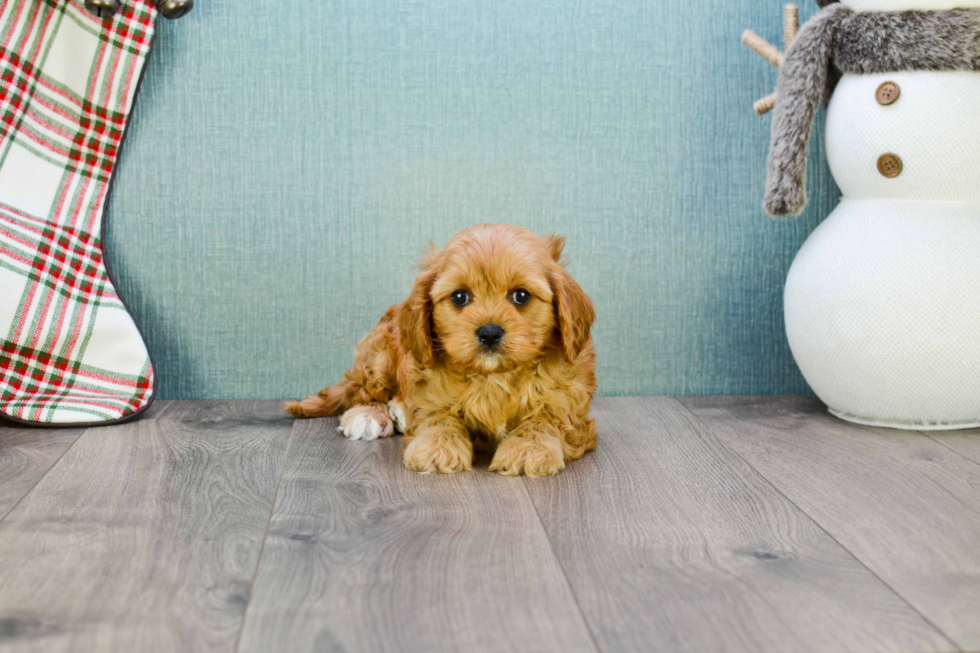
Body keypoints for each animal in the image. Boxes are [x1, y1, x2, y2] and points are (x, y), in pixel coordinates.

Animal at [288, 223, 596, 474]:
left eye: (521, 296)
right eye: (460, 297)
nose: (489, 332)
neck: (493, 377)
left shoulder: (567, 402)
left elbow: (546, 420)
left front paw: (529, 448)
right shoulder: (429, 391)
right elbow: (439, 417)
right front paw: (437, 447)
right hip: (379, 355)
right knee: (360, 388)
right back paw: (369, 414)